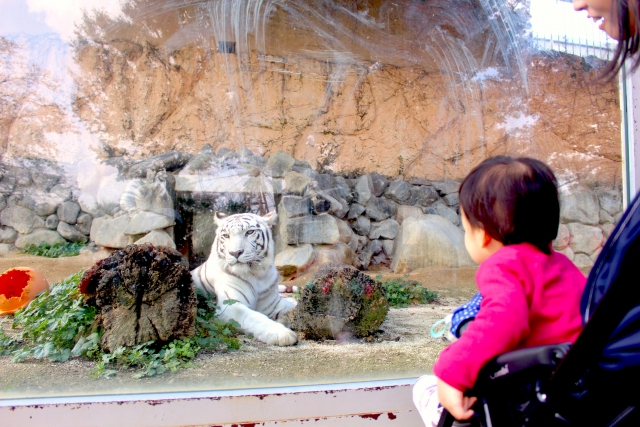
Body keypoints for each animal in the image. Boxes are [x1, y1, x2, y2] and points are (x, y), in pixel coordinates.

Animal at [191, 211, 298, 348]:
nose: (235, 253)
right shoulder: (230, 306)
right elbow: (255, 318)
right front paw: (283, 334)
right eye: (226, 235)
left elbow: (293, 308)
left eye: (249, 232)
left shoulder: (273, 303)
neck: (257, 275)